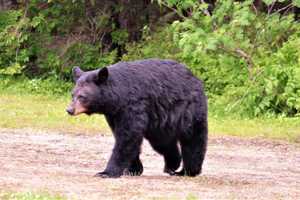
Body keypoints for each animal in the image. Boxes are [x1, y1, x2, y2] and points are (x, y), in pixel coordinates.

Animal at [66, 58, 207, 177]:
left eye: (82, 96)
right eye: (73, 94)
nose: (69, 110)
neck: (118, 97)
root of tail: (195, 78)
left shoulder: (133, 105)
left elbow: (127, 136)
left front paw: (106, 172)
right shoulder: (114, 114)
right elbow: (123, 136)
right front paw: (133, 169)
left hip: (188, 110)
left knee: (193, 139)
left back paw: (188, 171)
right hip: (160, 121)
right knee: (163, 142)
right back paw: (172, 164)